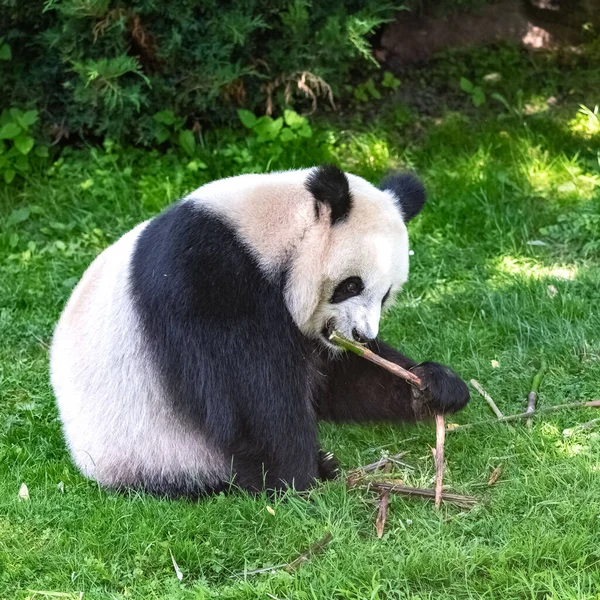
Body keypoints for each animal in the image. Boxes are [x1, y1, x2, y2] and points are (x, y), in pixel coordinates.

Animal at [50, 164, 468, 496]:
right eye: (351, 285)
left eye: (386, 295)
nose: (362, 336)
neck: (266, 233)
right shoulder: (208, 277)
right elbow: (246, 392)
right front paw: (298, 475)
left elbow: (338, 379)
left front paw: (434, 385)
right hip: (154, 451)